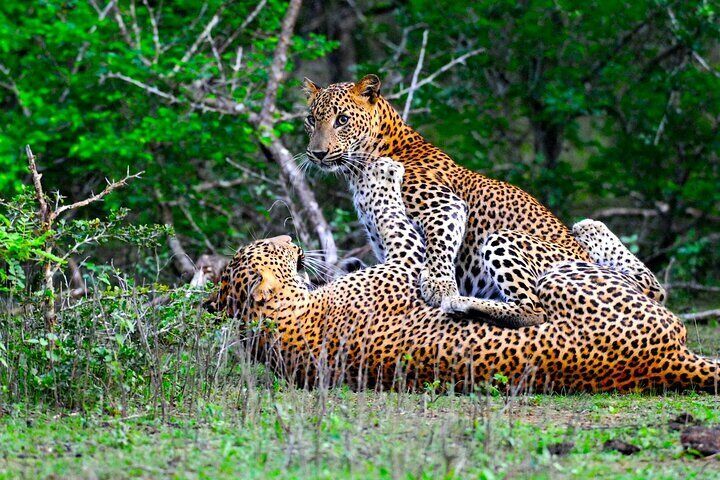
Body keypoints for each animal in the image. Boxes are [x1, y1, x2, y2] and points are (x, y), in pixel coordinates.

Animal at [206, 157, 718, 393]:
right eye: (275, 247)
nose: (290, 238)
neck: (276, 325)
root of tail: (664, 361)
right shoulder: (406, 263)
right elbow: (389, 216)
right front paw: (383, 172)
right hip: (551, 269)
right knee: (544, 305)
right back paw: (466, 301)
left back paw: (587, 225)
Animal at [301, 74, 666, 328]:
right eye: (311, 120)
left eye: (342, 120)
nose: (316, 153)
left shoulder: (444, 206)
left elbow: (439, 245)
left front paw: (439, 286)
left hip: (505, 240)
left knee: (535, 310)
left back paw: (464, 303)